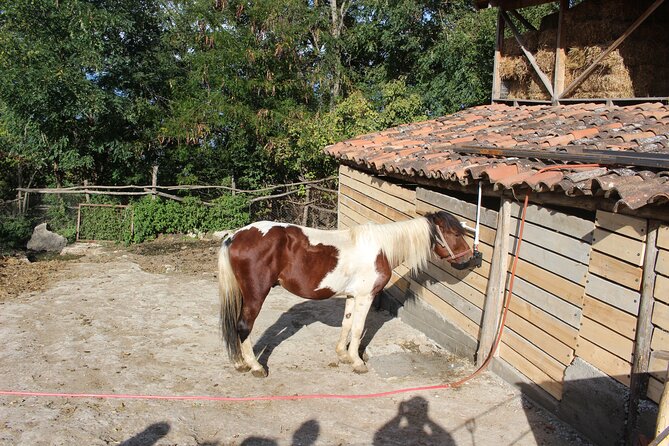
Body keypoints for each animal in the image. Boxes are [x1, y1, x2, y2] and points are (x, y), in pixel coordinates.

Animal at [217, 211, 474, 377]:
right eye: (454, 233)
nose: (470, 258)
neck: (382, 248)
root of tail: (235, 236)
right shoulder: (366, 297)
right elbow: (359, 329)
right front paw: (357, 362)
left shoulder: (353, 296)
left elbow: (347, 324)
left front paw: (342, 354)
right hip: (256, 294)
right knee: (244, 326)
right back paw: (256, 367)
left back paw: (240, 363)